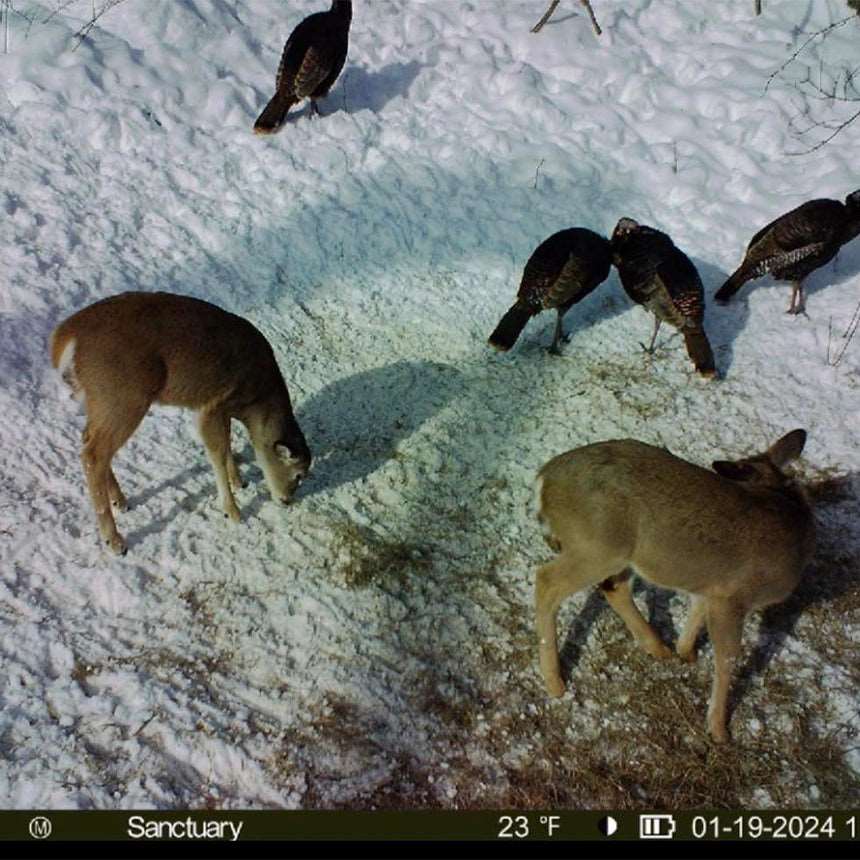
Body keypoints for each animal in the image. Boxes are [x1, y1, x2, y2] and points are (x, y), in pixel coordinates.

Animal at [50, 291, 312, 555]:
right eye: (299, 475)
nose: (287, 500)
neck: (255, 401)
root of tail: (64, 337)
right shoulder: (211, 405)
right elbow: (217, 452)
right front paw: (232, 511)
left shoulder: (222, 409)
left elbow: (227, 444)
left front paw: (239, 480)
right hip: (123, 397)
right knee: (93, 455)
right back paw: (115, 541)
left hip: (99, 401)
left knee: (89, 440)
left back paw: (120, 501)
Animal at [534, 430, 816, 743]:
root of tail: (543, 478)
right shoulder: (734, 596)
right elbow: (727, 656)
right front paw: (719, 729)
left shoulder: (712, 587)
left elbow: (696, 612)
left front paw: (686, 652)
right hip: (598, 545)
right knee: (546, 582)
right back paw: (555, 682)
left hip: (615, 552)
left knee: (613, 588)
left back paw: (658, 647)